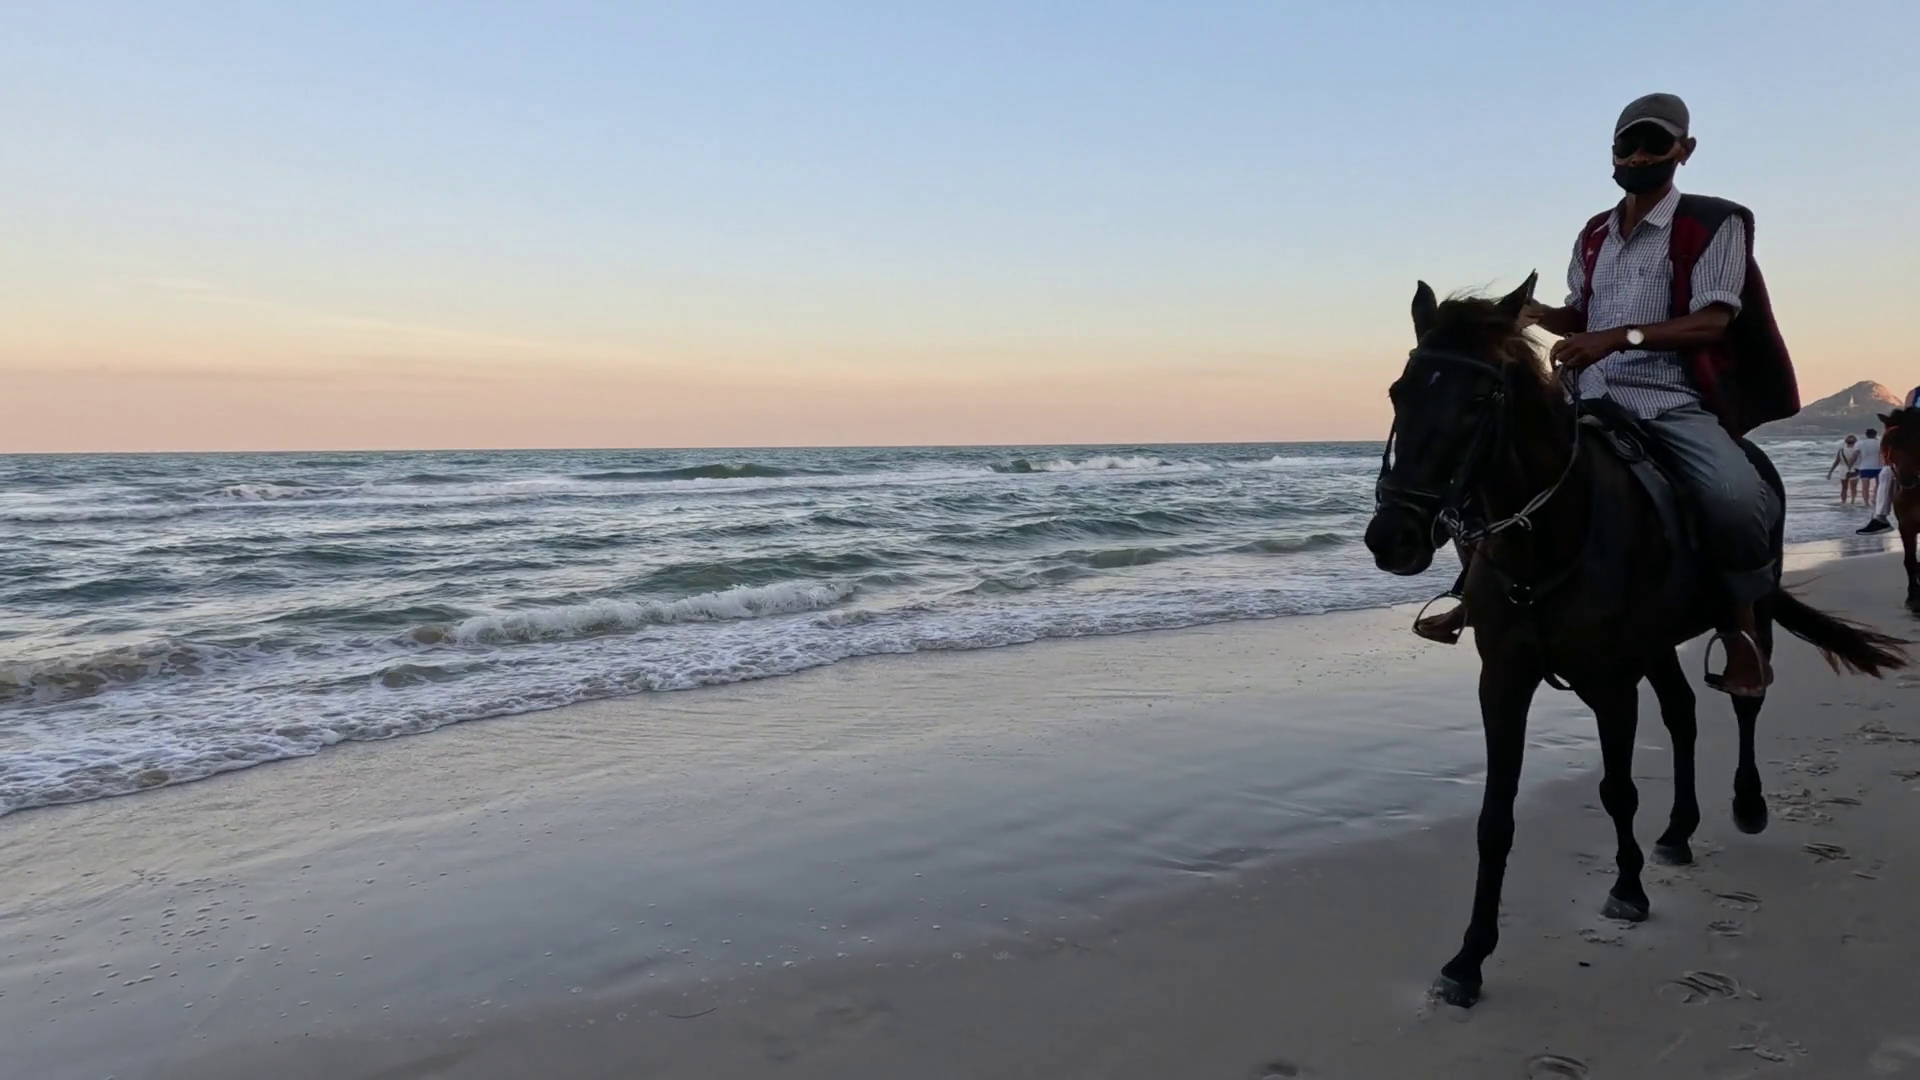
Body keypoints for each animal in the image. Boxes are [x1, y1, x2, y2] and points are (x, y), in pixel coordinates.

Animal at [1363, 274, 1910, 1008]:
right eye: (1400, 392)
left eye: (1478, 399)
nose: (1392, 537)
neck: (1550, 537)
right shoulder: (1504, 679)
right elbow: (1494, 819)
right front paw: (1470, 957)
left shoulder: (1611, 681)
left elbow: (1617, 788)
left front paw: (1627, 888)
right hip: (1656, 646)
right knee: (1682, 716)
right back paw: (1678, 830)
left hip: (1748, 614)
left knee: (1746, 699)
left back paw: (1747, 803)